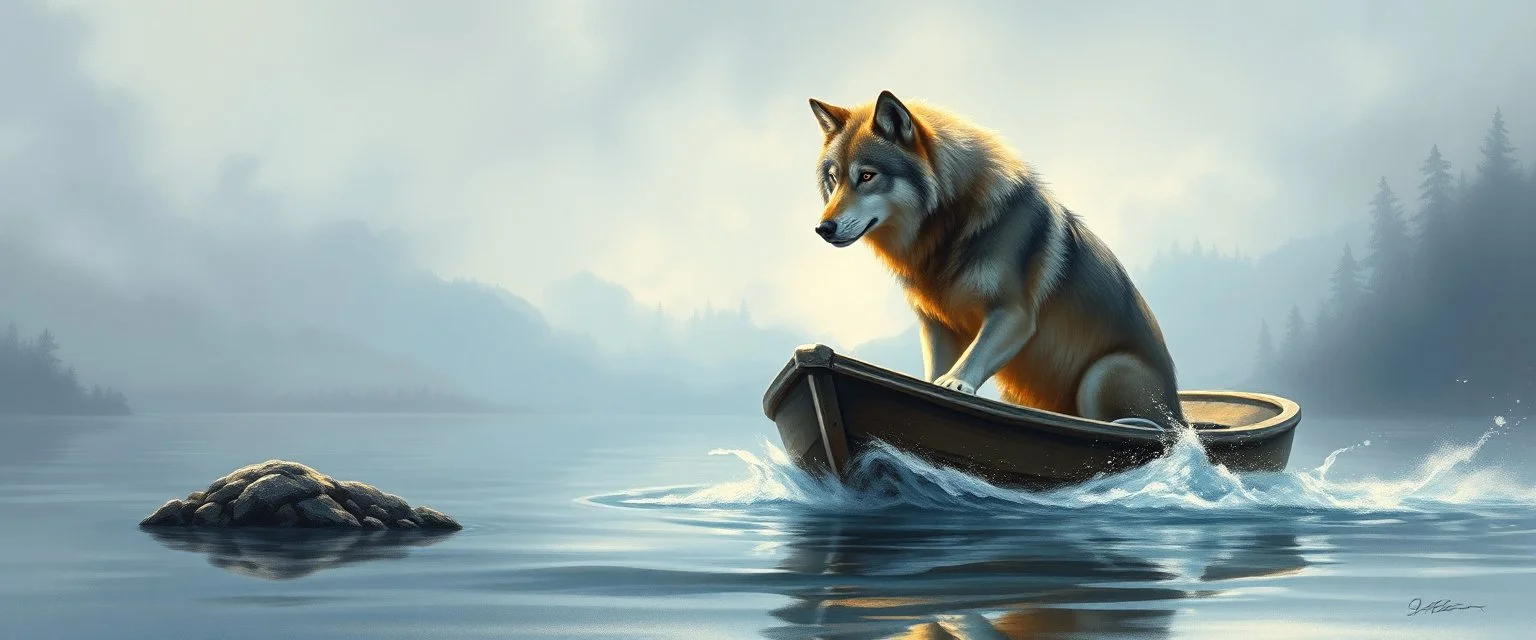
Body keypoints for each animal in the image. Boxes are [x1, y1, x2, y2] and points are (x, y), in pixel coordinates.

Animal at [807, 90, 1185, 429]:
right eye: (834, 179)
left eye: (867, 176)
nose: (823, 228)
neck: (947, 228)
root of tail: (1181, 414)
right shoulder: (936, 325)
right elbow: (934, 372)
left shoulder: (1013, 314)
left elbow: (972, 357)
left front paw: (954, 385)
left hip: (1102, 374)